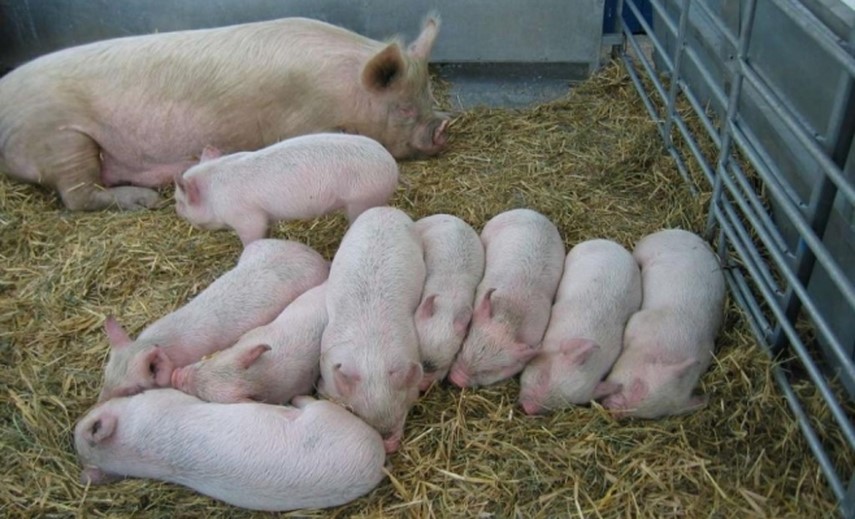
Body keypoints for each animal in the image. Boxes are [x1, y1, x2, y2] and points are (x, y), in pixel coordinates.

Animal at [0, 15, 448, 211]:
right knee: (76, 195)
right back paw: (146, 201)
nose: (443, 129)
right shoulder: (300, 123)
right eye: (403, 107)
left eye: (428, 95)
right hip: (60, 137)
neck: (341, 88)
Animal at [174, 134, 400, 245]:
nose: (176, 210)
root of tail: (392, 165)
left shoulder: (246, 217)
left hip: (363, 199)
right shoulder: (265, 216)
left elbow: (252, 237)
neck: (213, 194)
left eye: (179, 201)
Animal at [602, 229, 726, 419]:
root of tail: (692, 235)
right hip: (648, 245)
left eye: (651, 415)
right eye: (638, 385)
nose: (615, 411)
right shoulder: (640, 320)